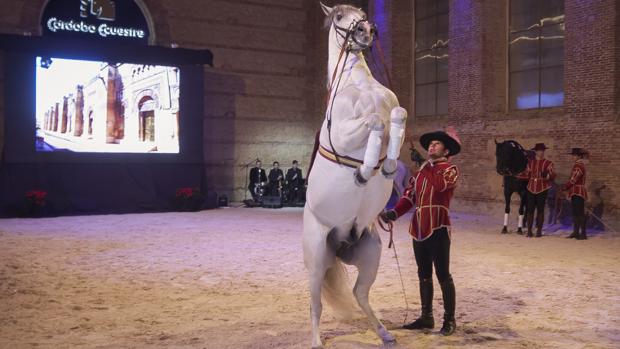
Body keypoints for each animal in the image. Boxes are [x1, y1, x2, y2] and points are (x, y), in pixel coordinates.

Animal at [304, 3, 410, 348]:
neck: (358, 84)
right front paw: (365, 171)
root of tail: (341, 242)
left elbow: (397, 115)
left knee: (359, 293)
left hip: (371, 254)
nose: (366, 30)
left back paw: (384, 333)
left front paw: (388, 166)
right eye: (339, 17)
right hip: (315, 260)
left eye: (361, 12)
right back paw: (316, 340)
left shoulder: (395, 110)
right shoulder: (344, 133)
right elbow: (374, 120)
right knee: (316, 302)